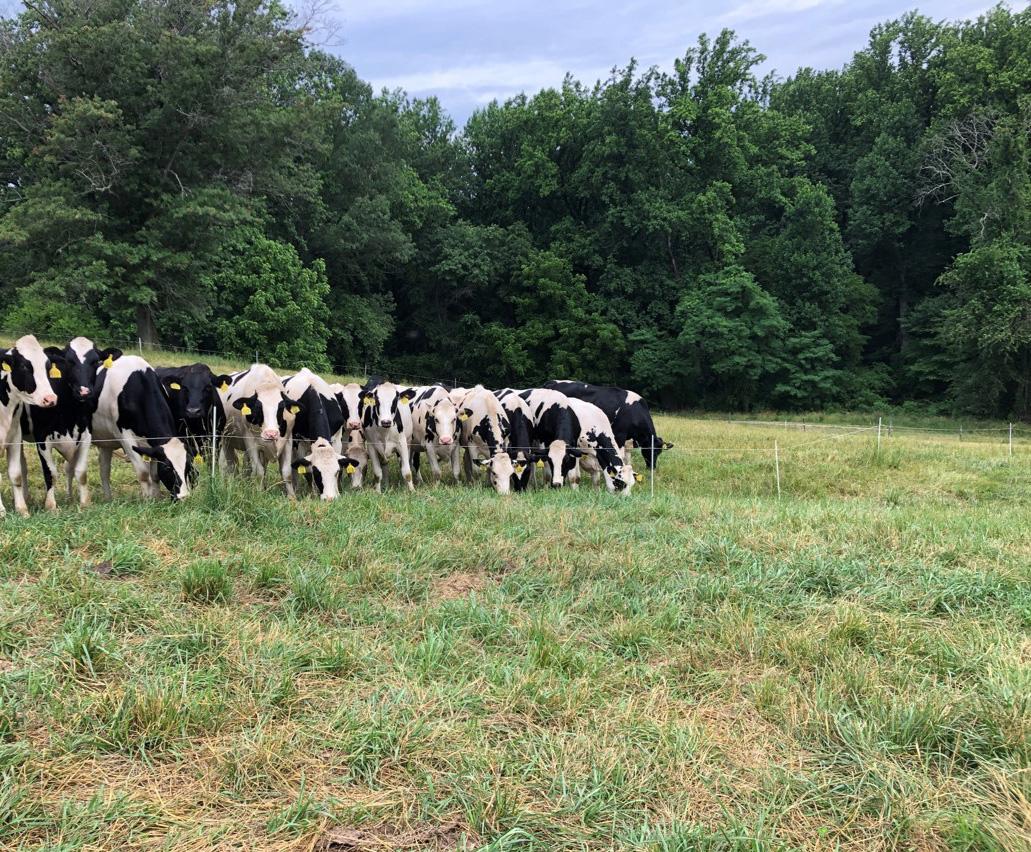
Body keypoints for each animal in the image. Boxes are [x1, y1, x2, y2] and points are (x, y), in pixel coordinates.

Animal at [0, 336, 59, 513]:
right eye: (24, 366)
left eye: (48, 367)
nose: (50, 398)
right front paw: (1, 512)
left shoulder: (14, 436)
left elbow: (16, 473)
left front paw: (22, 509)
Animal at [23, 336, 119, 511]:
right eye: (68, 361)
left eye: (96, 361)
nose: (84, 391)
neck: (70, 413)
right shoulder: (42, 438)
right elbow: (50, 473)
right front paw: (51, 506)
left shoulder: (85, 435)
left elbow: (80, 471)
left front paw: (84, 502)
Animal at [91, 352, 192, 497]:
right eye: (167, 468)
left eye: (187, 466)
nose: (184, 497)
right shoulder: (125, 437)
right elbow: (143, 473)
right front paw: (147, 499)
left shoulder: (154, 445)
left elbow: (154, 475)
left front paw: (156, 498)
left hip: (105, 440)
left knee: (104, 469)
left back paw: (108, 498)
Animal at [544, 379, 672, 468]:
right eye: (650, 449)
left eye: (659, 452)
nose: (652, 467)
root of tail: (551, 382)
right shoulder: (620, 434)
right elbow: (620, 454)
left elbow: (627, 457)